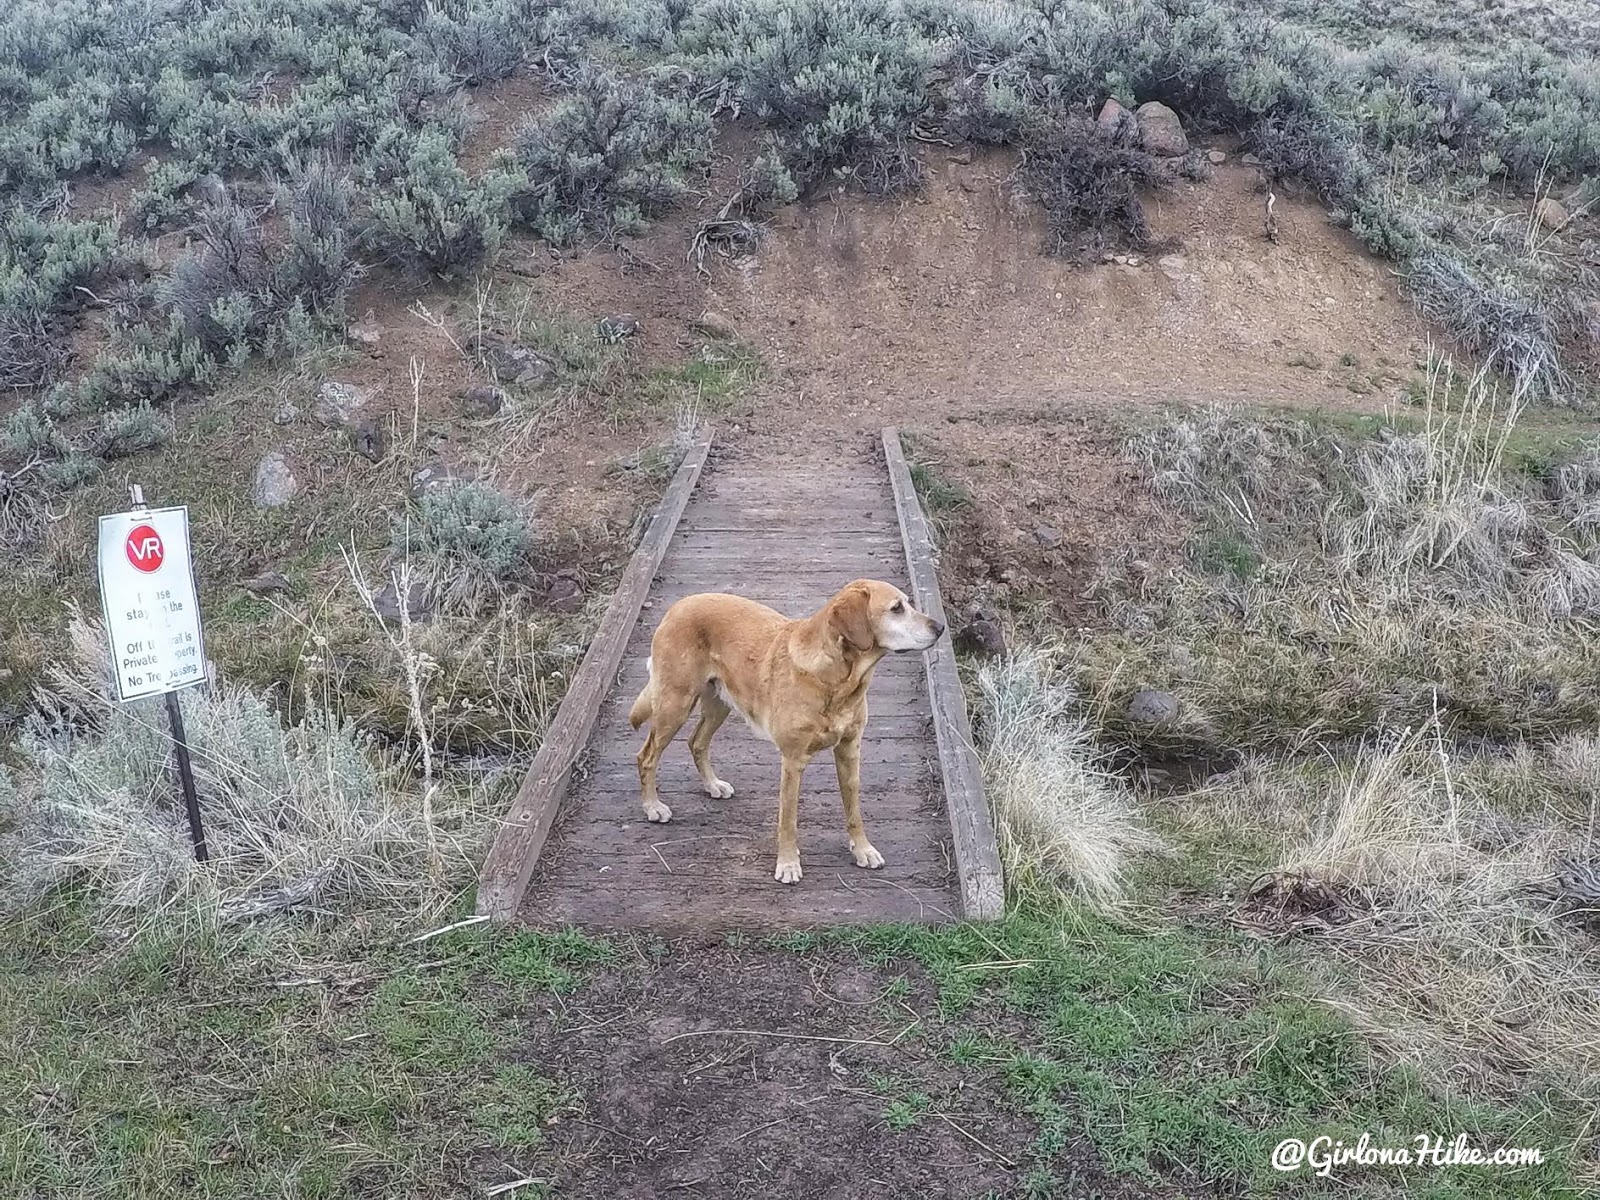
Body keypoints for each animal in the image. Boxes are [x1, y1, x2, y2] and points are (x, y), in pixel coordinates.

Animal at [627, 579, 947, 889]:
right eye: (896, 608)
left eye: (907, 604)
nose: (941, 628)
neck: (838, 681)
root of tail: (678, 606)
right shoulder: (793, 761)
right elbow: (788, 821)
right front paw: (788, 864)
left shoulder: (849, 750)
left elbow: (854, 810)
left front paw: (863, 849)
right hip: (675, 704)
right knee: (647, 756)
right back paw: (653, 806)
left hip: (719, 704)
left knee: (697, 742)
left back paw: (713, 784)